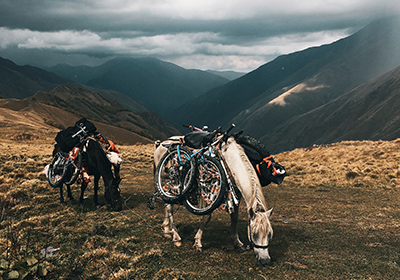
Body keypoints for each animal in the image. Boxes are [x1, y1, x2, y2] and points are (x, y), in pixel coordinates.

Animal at [153, 135, 278, 266]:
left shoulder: (236, 195)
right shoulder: (210, 194)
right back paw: (176, 236)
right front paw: (197, 243)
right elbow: (206, 217)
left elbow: (234, 218)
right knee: (169, 207)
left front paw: (238, 243)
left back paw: (167, 231)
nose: (265, 261)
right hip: (168, 183)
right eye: (254, 234)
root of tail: (161, 144)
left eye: (270, 234)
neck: (229, 160)